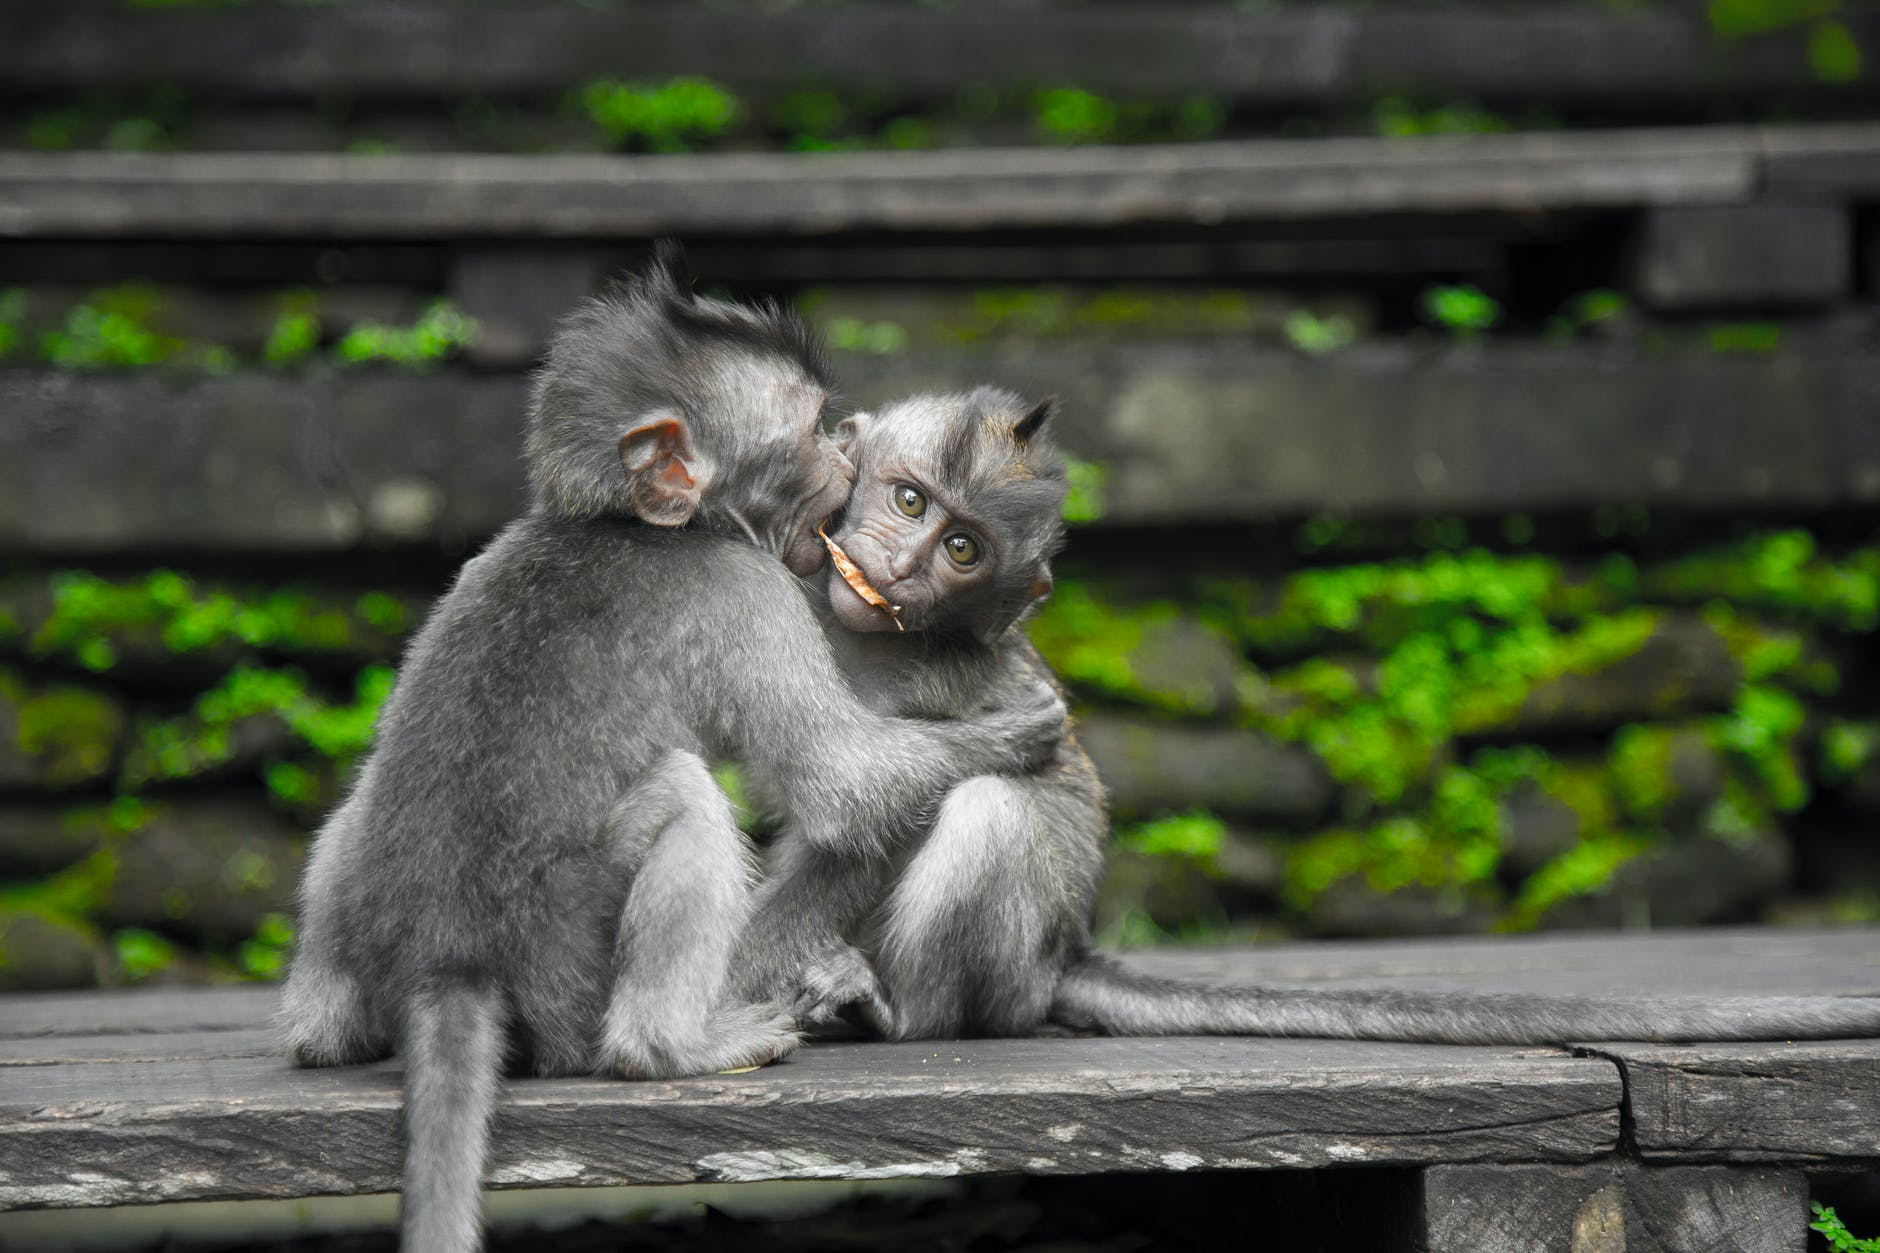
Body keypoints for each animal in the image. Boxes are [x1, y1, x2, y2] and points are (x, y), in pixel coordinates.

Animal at [283, 253, 1067, 1249]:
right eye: (811, 432)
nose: (846, 453)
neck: (622, 522)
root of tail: (448, 961)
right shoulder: (746, 588)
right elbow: (843, 785)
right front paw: (1016, 728)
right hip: (569, 969)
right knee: (686, 801)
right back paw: (675, 1046)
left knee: (361, 800)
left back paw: (324, 1032)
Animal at [729, 387, 1880, 1046]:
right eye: (909, 501)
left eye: (963, 550)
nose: (901, 568)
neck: (872, 638)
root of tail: (1065, 951)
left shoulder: (945, 675)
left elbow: (873, 818)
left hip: (1013, 963)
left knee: (990, 811)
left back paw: (901, 1012)